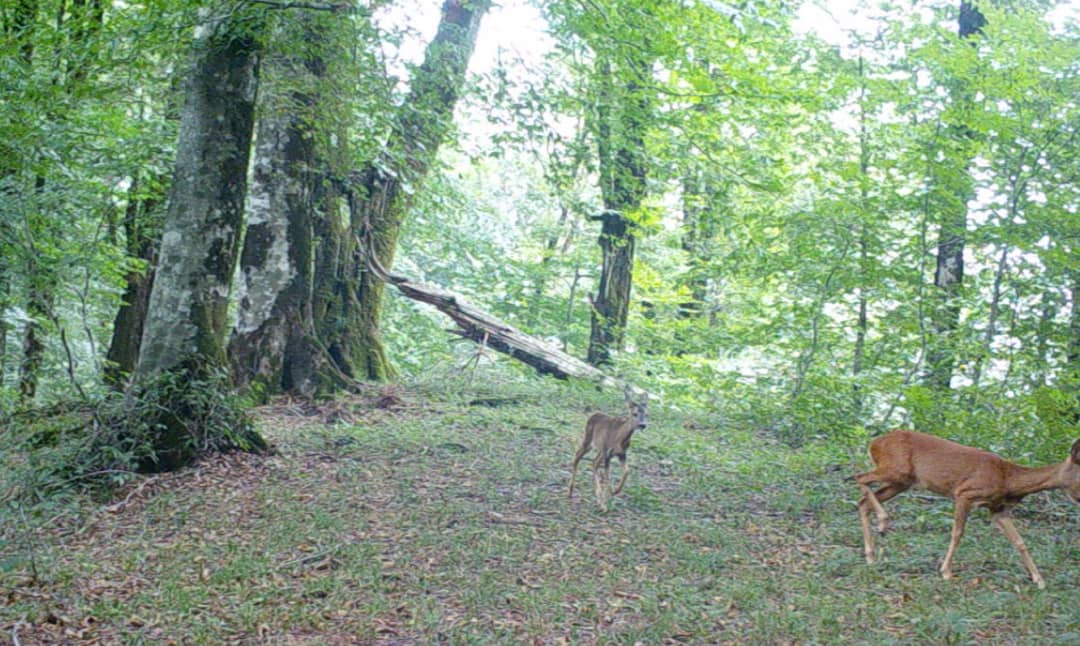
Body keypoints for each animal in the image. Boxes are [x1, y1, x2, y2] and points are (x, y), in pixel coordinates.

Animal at [570, 386, 643, 514]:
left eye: (647, 414)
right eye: (634, 414)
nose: (643, 425)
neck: (620, 439)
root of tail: (594, 413)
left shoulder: (622, 454)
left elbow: (626, 471)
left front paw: (615, 491)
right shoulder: (608, 454)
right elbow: (607, 477)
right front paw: (605, 505)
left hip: (599, 449)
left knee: (594, 462)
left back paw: (598, 497)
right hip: (589, 439)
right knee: (578, 455)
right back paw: (570, 491)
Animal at [851, 432, 1080, 591]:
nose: (1078, 499)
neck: (1007, 479)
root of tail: (874, 443)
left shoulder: (998, 510)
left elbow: (1019, 542)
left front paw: (1039, 580)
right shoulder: (965, 494)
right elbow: (958, 533)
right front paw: (946, 572)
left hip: (902, 481)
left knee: (863, 501)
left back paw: (870, 556)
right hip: (896, 470)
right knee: (860, 477)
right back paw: (883, 522)